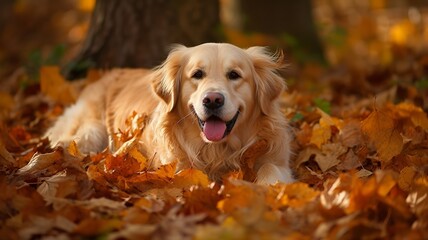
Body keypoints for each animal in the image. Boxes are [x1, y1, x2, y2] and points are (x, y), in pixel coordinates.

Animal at [46, 43, 294, 184]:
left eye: (234, 75)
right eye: (197, 74)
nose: (213, 100)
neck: (218, 151)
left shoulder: (276, 158)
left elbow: (271, 170)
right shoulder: (177, 166)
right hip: (92, 130)